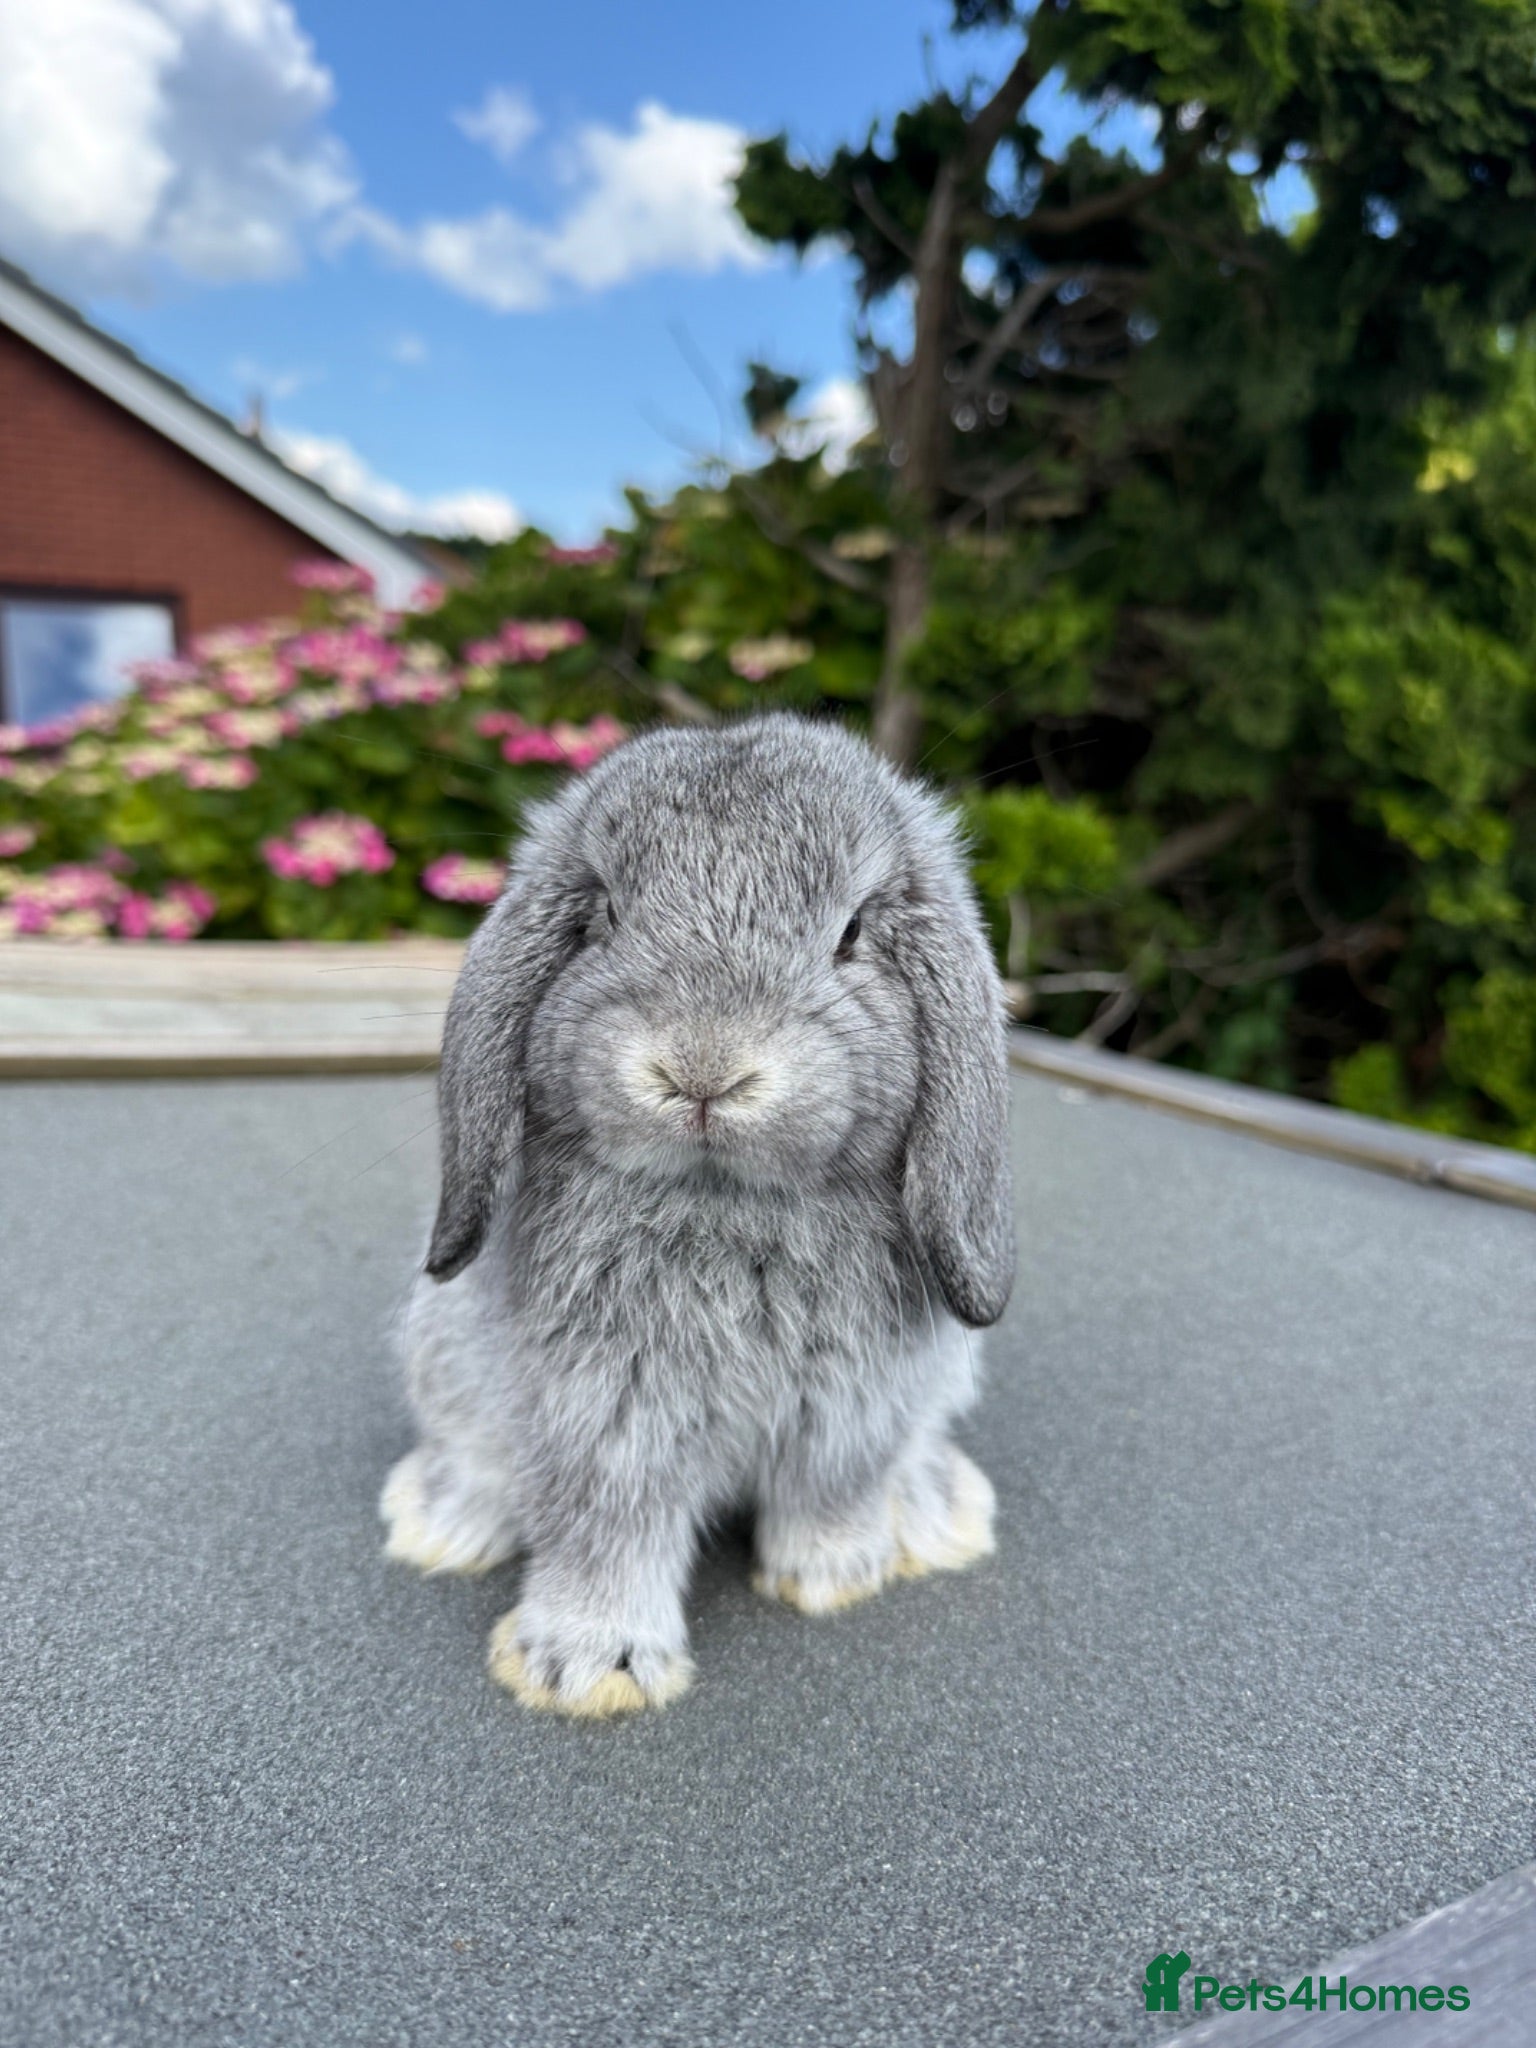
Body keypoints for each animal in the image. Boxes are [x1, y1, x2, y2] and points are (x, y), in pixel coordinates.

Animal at [380, 711, 1016, 1717]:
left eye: (852, 932)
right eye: (602, 915)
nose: (703, 1069)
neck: (728, 1208)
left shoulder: (850, 1413)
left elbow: (830, 1494)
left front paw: (837, 1575)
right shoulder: (607, 1418)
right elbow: (609, 1530)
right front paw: (587, 1668)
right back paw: (439, 1520)